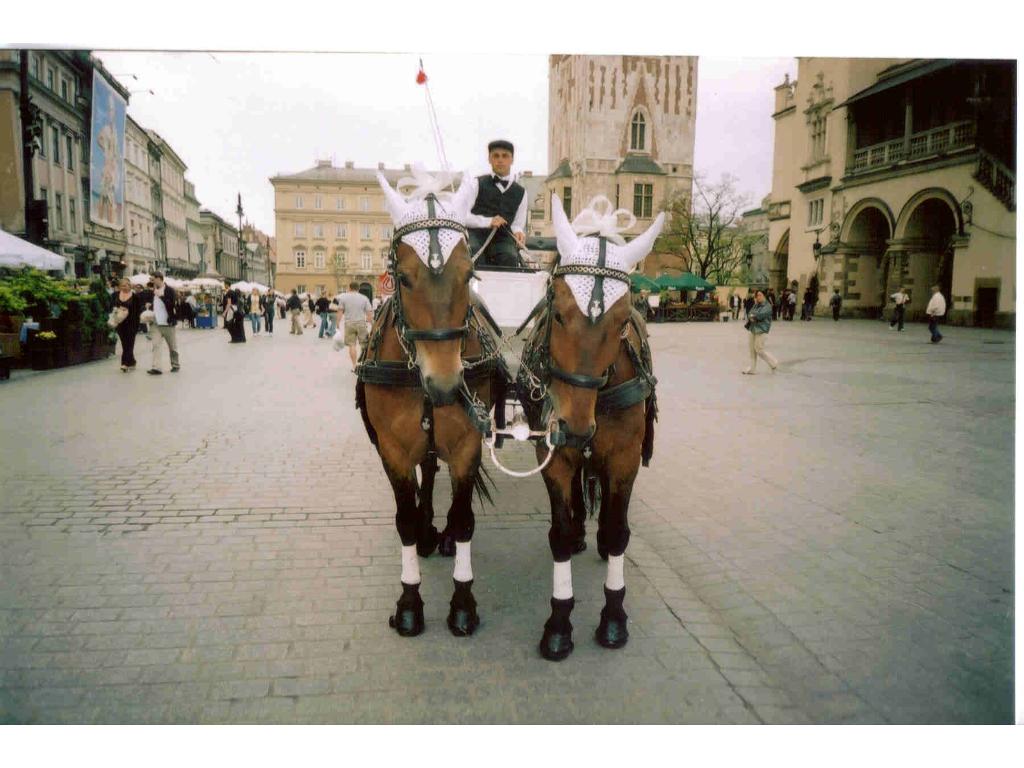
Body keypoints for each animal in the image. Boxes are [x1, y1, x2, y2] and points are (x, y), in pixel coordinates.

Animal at [358, 173, 501, 638]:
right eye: (402, 278)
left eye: (469, 273)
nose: (444, 383)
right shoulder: (392, 449)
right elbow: (403, 517)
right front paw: (409, 602)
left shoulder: (467, 444)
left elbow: (464, 518)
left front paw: (462, 602)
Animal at [524, 193, 667, 663]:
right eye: (557, 310)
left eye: (623, 320)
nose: (575, 426)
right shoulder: (553, 457)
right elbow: (560, 531)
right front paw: (559, 622)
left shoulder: (624, 460)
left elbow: (619, 531)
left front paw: (613, 618)